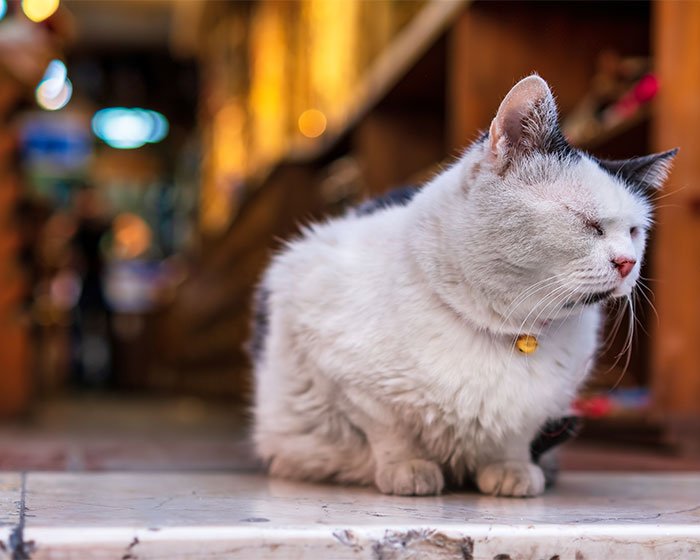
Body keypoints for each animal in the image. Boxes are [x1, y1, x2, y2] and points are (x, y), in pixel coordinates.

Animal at [249, 75, 676, 498]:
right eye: (586, 221)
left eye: (634, 232)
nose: (628, 263)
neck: (503, 328)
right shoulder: (344, 375)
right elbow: (390, 433)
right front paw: (407, 468)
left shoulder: (539, 407)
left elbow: (514, 437)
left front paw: (510, 470)